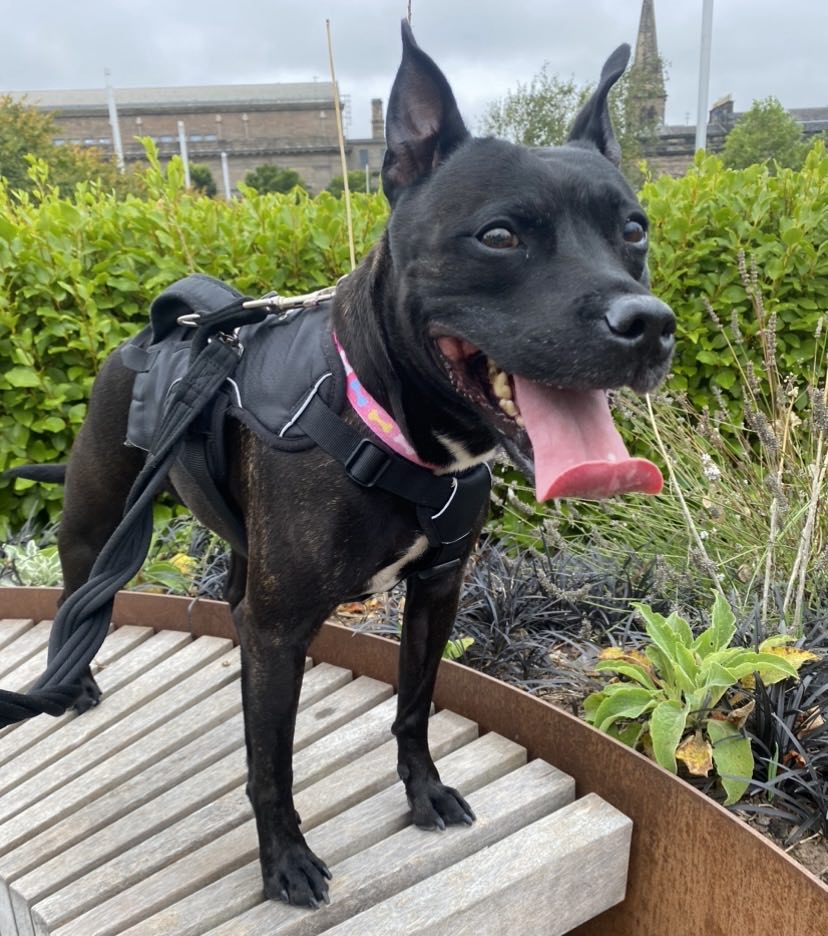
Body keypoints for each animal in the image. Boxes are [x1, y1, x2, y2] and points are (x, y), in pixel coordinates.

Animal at [12, 25, 672, 912]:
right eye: (499, 235)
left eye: (632, 231)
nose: (649, 324)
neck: (390, 423)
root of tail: (156, 330)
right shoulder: (282, 629)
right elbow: (270, 765)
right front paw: (284, 860)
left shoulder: (436, 593)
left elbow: (415, 707)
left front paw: (423, 791)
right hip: (95, 524)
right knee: (79, 597)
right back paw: (72, 681)